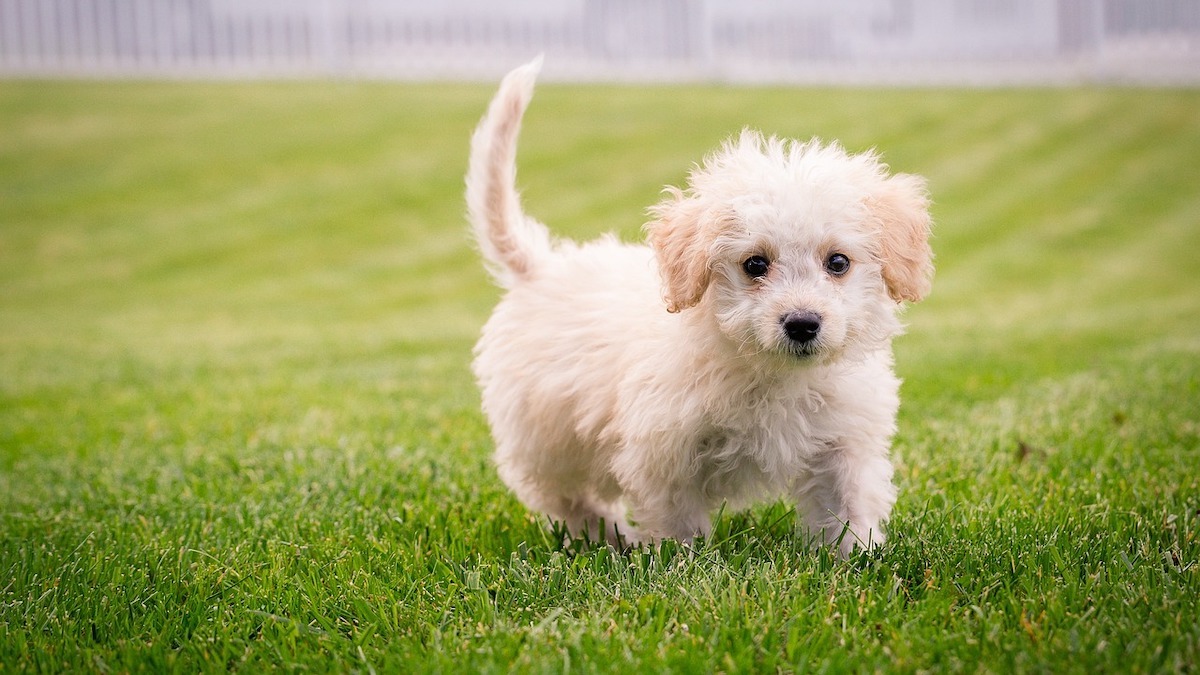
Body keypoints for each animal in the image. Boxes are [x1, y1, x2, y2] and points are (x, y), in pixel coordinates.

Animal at [463, 57, 931, 554]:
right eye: (755, 264)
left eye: (838, 262)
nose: (802, 324)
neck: (770, 373)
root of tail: (541, 266)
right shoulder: (663, 454)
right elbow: (678, 523)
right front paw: (683, 562)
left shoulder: (844, 443)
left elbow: (848, 507)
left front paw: (858, 557)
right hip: (546, 439)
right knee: (567, 498)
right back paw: (612, 538)